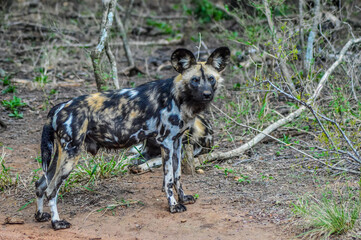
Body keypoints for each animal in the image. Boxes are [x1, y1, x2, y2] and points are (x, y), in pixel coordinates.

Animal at [35, 46, 229, 229]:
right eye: (195, 80)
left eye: (211, 79)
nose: (207, 94)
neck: (180, 97)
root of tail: (60, 106)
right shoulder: (166, 143)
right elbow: (168, 180)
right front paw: (173, 206)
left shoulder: (177, 143)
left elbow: (178, 175)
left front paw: (183, 198)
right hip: (71, 156)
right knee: (51, 190)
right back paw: (56, 223)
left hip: (60, 156)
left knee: (40, 184)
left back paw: (40, 216)